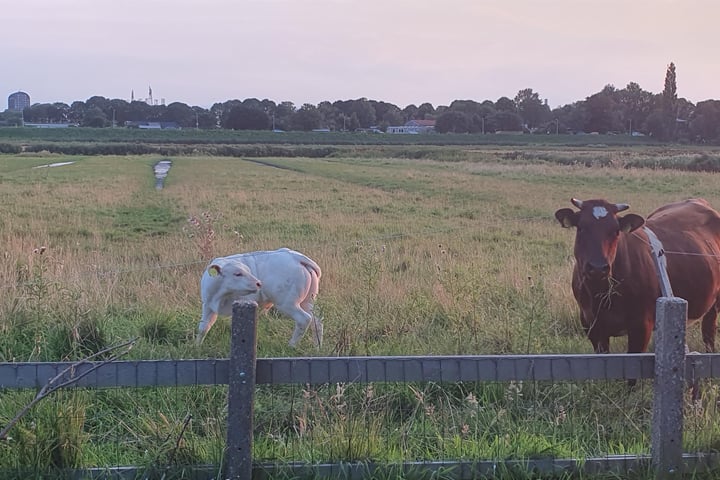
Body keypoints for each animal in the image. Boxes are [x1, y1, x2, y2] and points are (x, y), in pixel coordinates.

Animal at [556, 197, 720, 354]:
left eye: (616, 231)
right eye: (581, 228)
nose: (598, 268)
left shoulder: (641, 327)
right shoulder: (591, 326)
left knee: (709, 332)